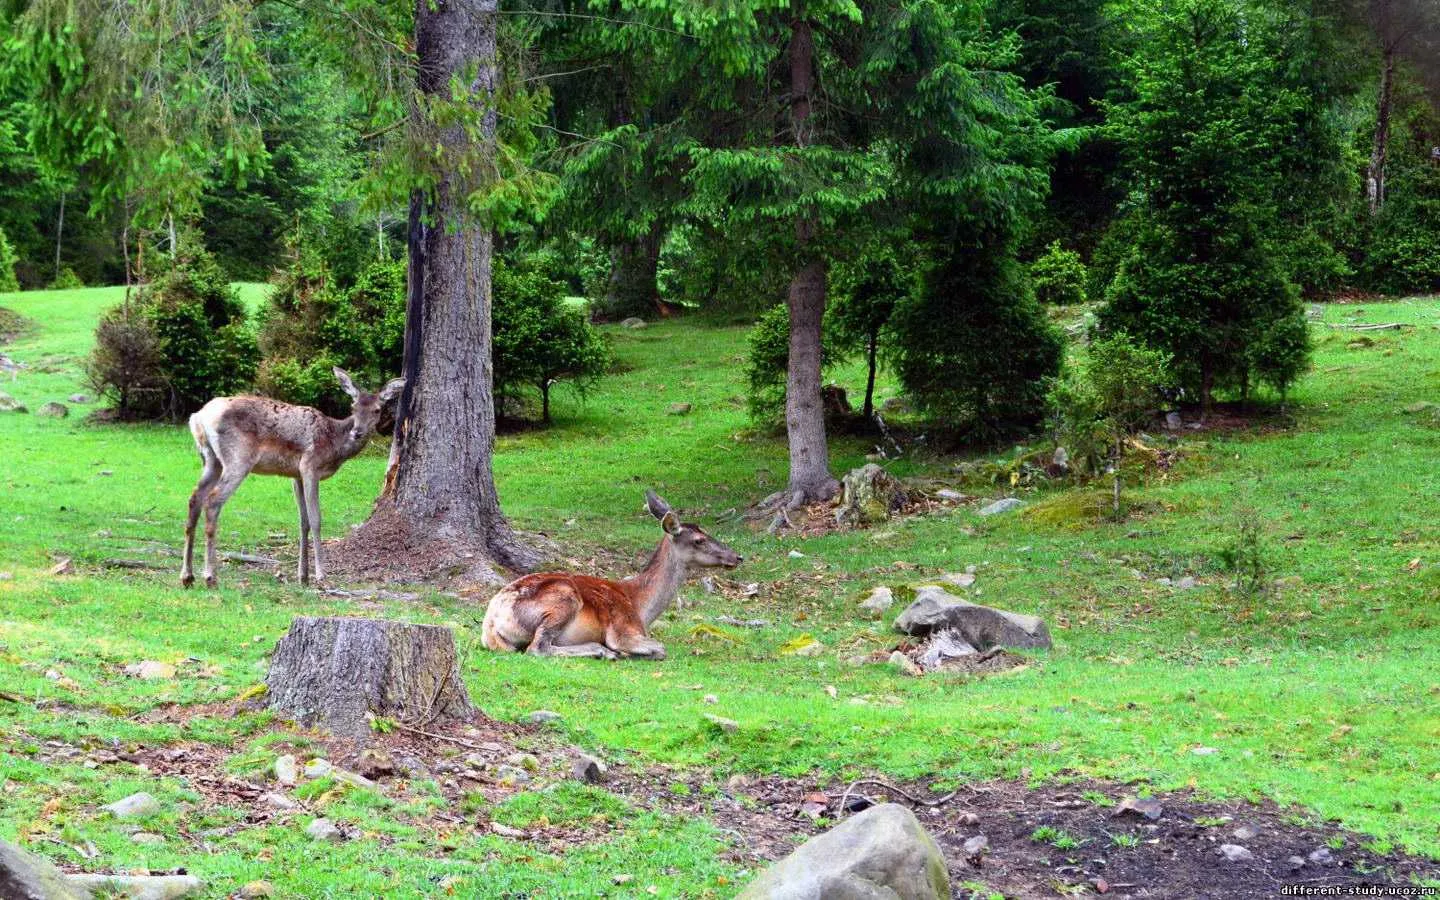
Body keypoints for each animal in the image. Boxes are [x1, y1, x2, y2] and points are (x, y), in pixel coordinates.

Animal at [182, 367, 406, 590]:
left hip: (211, 460)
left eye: (377, 409)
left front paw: (303, 576)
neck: (334, 445)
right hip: (238, 458)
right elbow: (316, 519)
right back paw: (210, 577)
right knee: (213, 501)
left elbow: (303, 521)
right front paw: (321, 575)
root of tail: (198, 418)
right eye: (353, 407)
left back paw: (187, 576)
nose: (357, 432)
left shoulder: (295, 474)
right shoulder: (310, 466)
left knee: (195, 498)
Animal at [483, 492, 743, 659]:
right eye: (699, 540)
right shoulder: (623, 629)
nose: (738, 556)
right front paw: (622, 652)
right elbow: (659, 648)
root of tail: (492, 623)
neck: (641, 607)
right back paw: (601, 651)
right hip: (563, 600)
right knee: (537, 648)